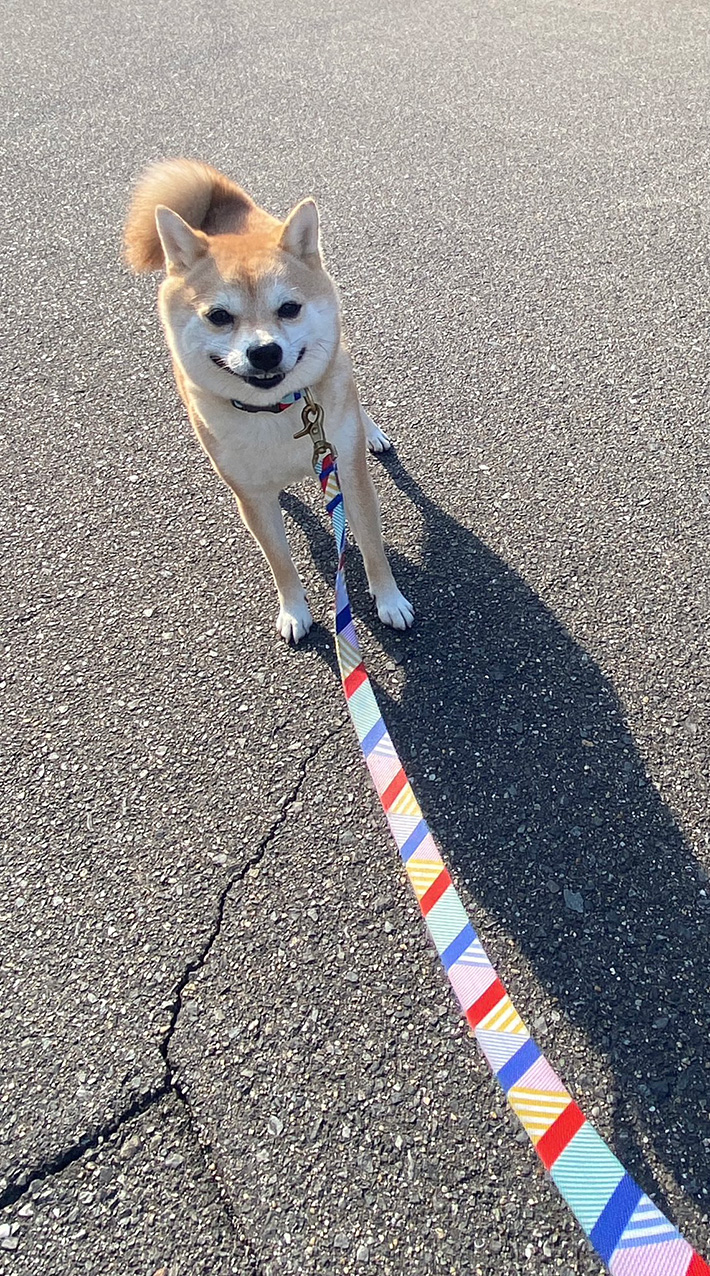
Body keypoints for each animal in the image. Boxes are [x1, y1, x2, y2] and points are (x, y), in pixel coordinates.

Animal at [123, 159, 413, 643]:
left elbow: (373, 546)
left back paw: (370, 431)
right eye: (219, 316)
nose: (264, 352)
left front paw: (389, 599)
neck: (278, 411)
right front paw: (295, 611)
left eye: (289, 308)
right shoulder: (253, 499)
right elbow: (280, 562)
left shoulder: (350, 476)